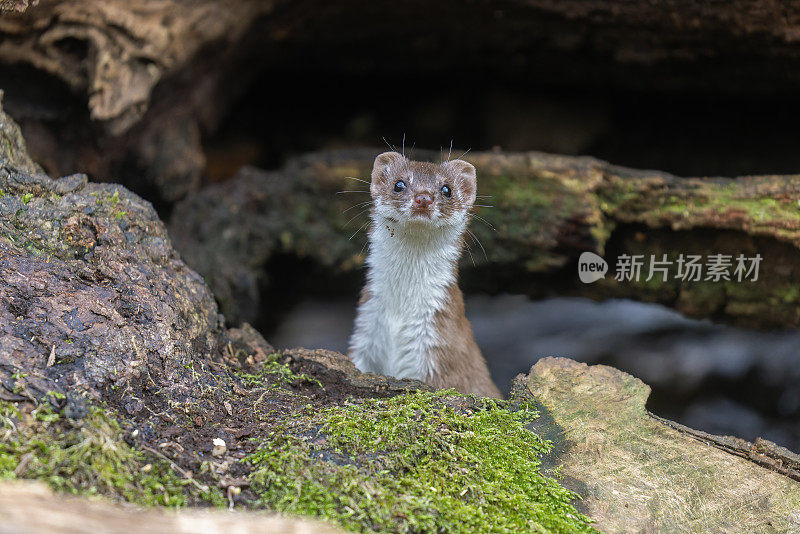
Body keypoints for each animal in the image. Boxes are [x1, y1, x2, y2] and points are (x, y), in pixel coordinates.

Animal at [348, 150, 500, 398]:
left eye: (446, 189)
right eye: (399, 184)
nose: (423, 198)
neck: (398, 315)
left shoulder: (440, 348)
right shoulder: (365, 333)